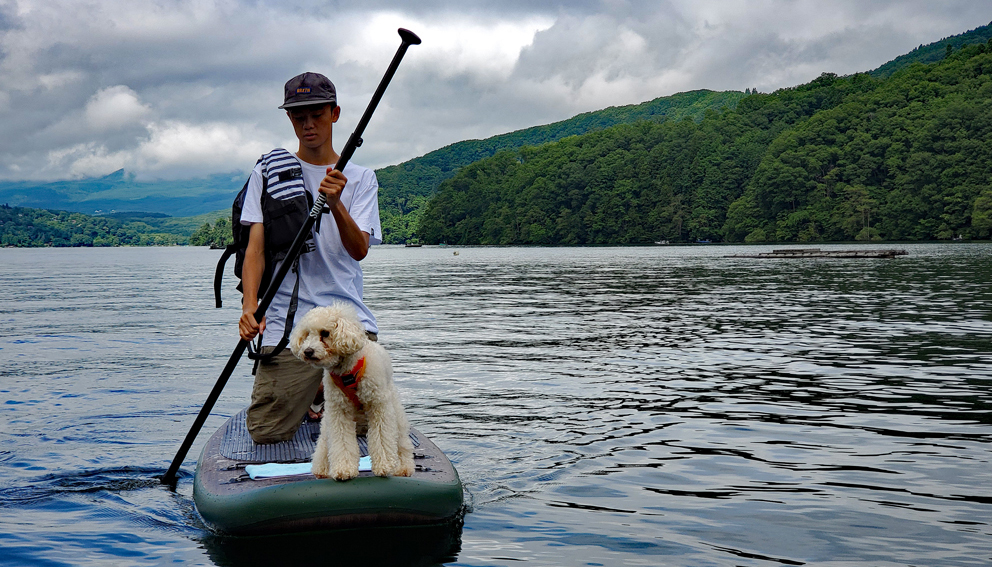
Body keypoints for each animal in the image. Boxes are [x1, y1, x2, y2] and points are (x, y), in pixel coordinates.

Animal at [286, 304, 414, 482]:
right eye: (306, 334)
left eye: (325, 333)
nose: (308, 351)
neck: (347, 371)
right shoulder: (339, 411)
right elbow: (342, 442)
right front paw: (344, 469)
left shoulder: (379, 407)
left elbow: (382, 438)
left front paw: (384, 466)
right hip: (328, 420)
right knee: (324, 442)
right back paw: (321, 469)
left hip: (394, 410)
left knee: (401, 441)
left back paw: (403, 468)